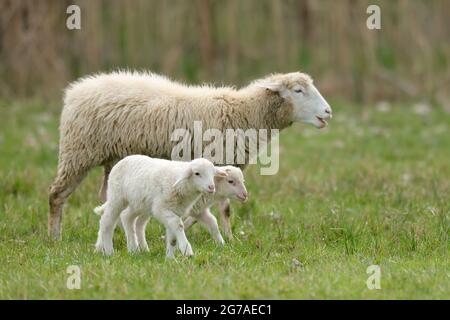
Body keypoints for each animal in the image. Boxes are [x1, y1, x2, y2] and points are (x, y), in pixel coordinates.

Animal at [49, 70, 332, 240]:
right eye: (298, 91)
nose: (328, 112)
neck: (243, 113)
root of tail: (76, 91)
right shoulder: (215, 164)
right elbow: (223, 208)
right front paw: (228, 237)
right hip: (78, 151)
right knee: (57, 195)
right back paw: (55, 237)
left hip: (113, 158)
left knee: (107, 197)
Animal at [93, 155, 227, 258]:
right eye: (197, 173)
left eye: (213, 174)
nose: (211, 187)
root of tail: (123, 159)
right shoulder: (161, 208)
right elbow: (178, 224)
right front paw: (187, 250)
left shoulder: (174, 210)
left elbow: (172, 236)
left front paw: (170, 258)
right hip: (117, 197)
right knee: (107, 221)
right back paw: (109, 251)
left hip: (139, 203)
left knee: (127, 217)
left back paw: (134, 249)